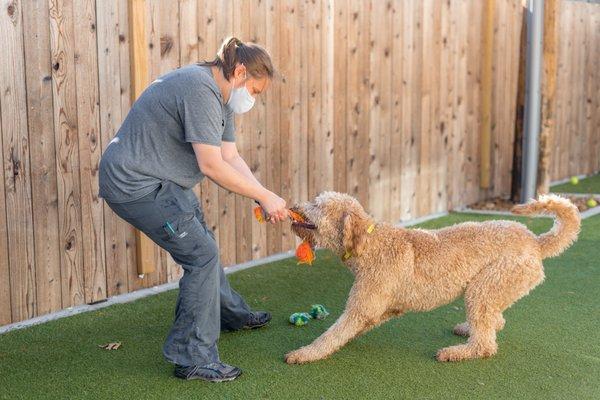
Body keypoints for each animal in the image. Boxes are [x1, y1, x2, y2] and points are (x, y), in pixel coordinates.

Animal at [288, 192, 580, 364]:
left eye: (317, 205)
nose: (292, 205)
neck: (370, 243)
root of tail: (535, 241)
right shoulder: (381, 308)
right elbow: (347, 331)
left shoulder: (362, 306)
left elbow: (331, 335)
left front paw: (304, 353)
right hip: (493, 288)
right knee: (495, 320)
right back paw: (468, 329)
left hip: (486, 286)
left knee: (486, 344)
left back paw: (457, 351)